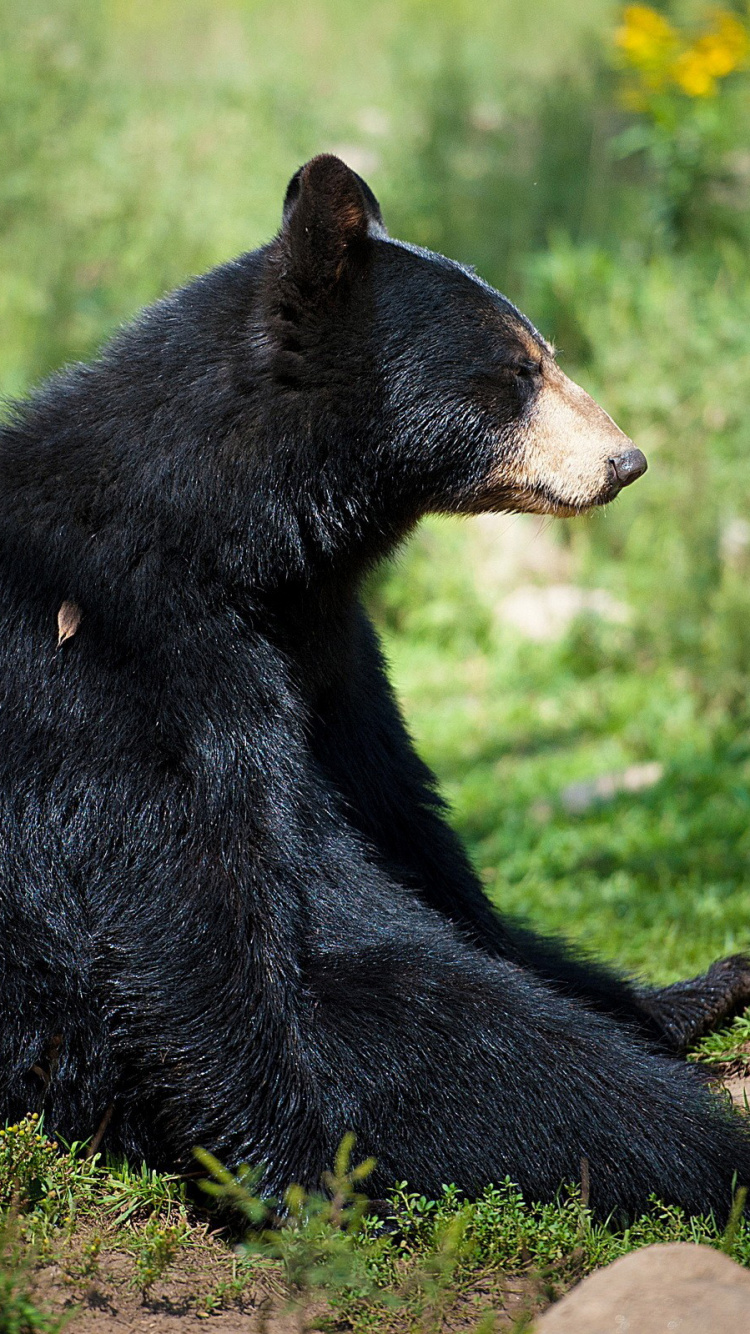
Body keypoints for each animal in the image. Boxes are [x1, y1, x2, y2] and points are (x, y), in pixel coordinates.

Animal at [1, 153, 750, 1220]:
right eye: (518, 371)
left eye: (546, 352)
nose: (626, 460)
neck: (242, 547)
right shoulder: (117, 665)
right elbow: (185, 911)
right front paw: (300, 1179)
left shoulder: (331, 656)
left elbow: (406, 824)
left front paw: (661, 996)